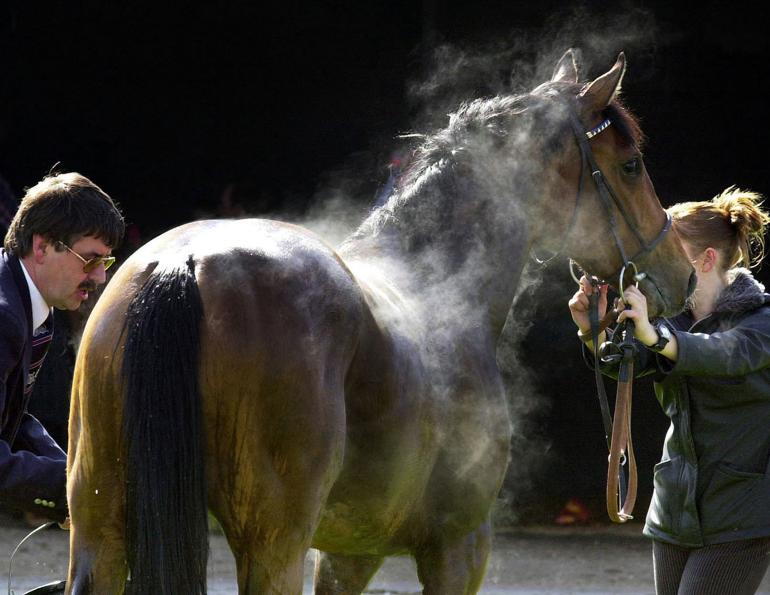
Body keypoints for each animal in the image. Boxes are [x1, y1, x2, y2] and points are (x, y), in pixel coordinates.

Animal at [65, 49, 696, 594]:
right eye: (631, 164)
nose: (682, 273)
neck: (437, 282)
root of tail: (186, 263)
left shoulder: (348, 553)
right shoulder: (459, 547)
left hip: (99, 532)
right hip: (272, 545)